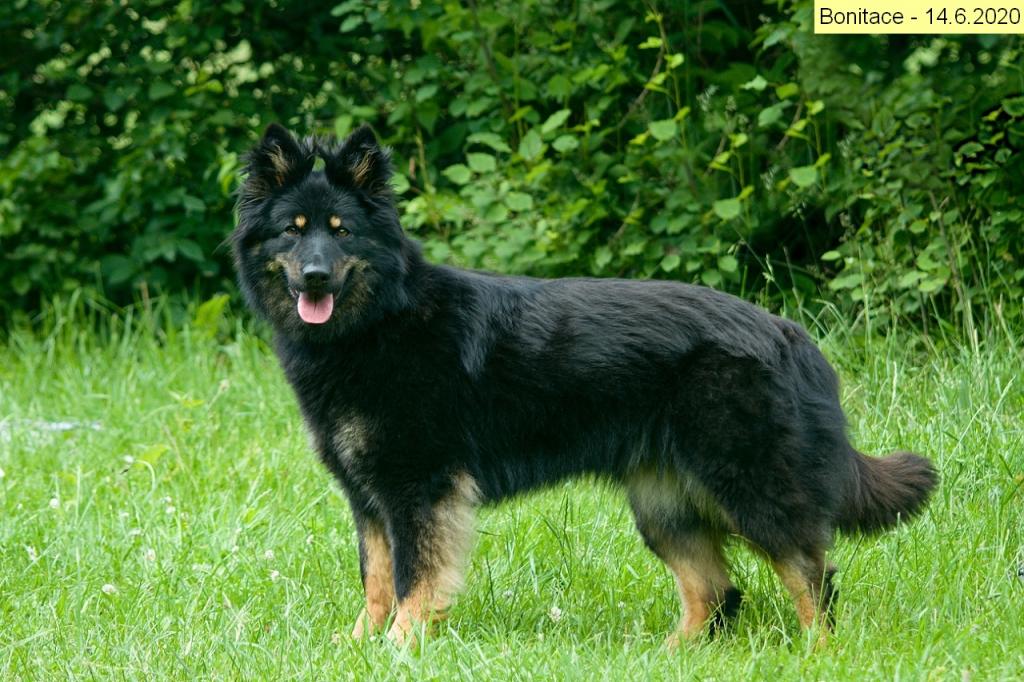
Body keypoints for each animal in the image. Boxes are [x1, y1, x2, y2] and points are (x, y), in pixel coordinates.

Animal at [231, 123, 938, 646]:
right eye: (293, 231)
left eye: (341, 231)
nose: (315, 277)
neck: (380, 320)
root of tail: (789, 334)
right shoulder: (370, 497)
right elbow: (376, 578)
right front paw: (361, 646)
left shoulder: (420, 490)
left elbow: (414, 580)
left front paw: (401, 646)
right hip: (665, 504)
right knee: (716, 592)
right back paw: (664, 656)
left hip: (750, 484)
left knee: (811, 574)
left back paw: (818, 653)